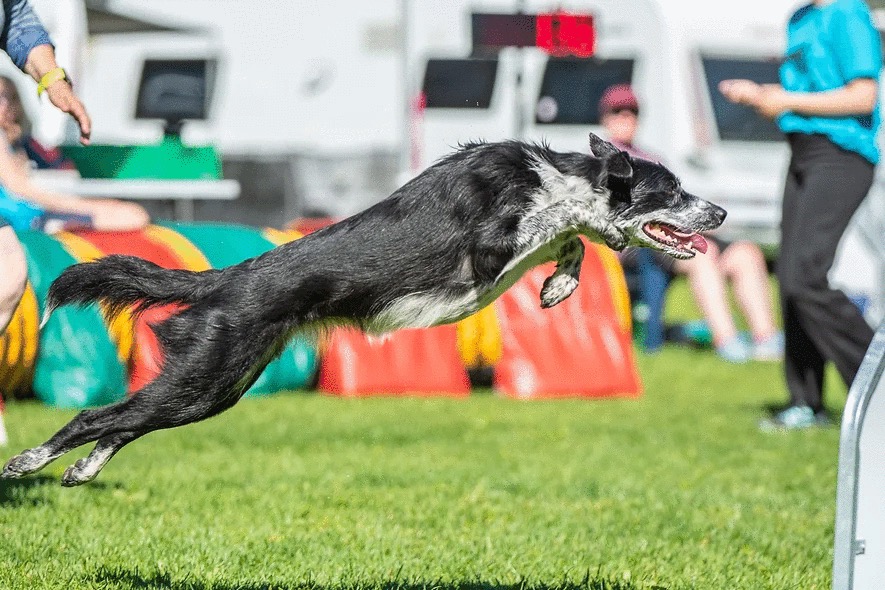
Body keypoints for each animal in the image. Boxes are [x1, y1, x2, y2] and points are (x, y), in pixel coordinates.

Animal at [1, 134, 724, 486]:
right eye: (671, 190)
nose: (718, 212)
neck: (559, 175)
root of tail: (224, 280)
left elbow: (572, 238)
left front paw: (558, 287)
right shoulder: (490, 248)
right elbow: (561, 224)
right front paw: (573, 257)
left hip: (214, 388)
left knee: (124, 423)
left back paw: (79, 471)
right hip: (207, 373)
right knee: (96, 416)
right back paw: (29, 463)